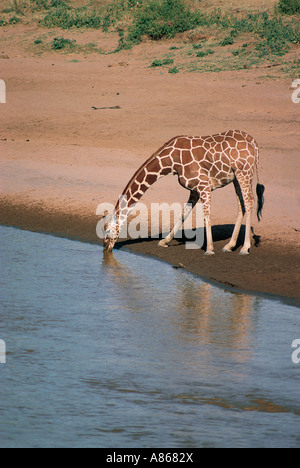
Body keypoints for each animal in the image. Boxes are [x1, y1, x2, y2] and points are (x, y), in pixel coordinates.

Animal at [103, 130, 264, 256]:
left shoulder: (204, 184)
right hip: (236, 176)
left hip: (244, 172)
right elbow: (183, 213)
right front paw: (164, 241)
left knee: (249, 201)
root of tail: (254, 142)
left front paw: (209, 249)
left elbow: (206, 215)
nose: (106, 248)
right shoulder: (194, 189)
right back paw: (230, 245)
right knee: (241, 204)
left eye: (107, 231)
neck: (171, 161)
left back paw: (244, 248)